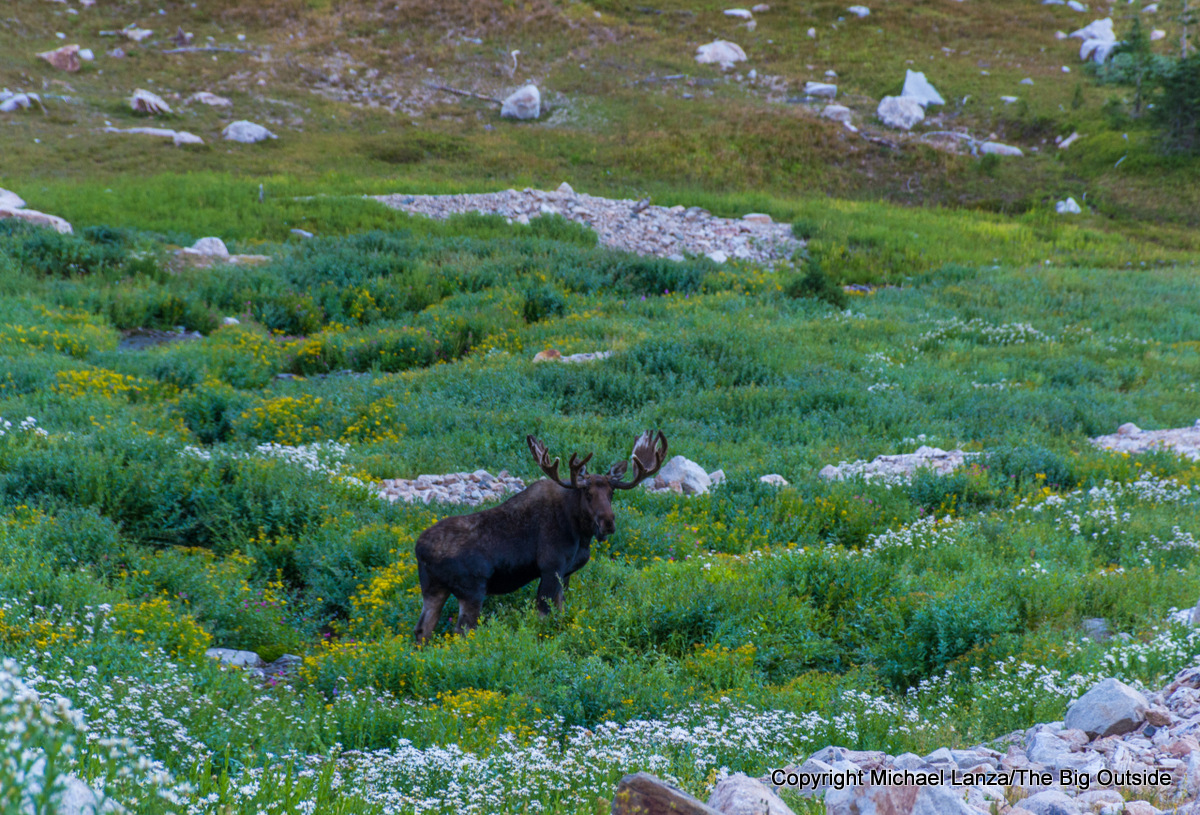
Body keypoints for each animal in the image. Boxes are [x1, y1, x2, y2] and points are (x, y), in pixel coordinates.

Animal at [413, 430, 668, 644]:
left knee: (422, 630)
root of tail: (419, 550)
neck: (580, 533)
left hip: (433, 588)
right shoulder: (550, 568)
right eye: (587, 492)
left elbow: (561, 612)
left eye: (611, 492)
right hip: (472, 590)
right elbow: (543, 617)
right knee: (461, 632)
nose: (608, 523)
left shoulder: (565, 574)